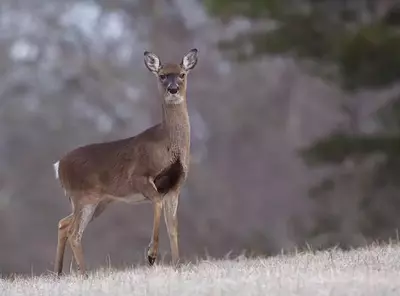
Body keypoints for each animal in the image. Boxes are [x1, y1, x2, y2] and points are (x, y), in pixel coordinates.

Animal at [53, 47, 198, 276]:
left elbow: (173, 227)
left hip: (98, 201)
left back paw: (59, 273)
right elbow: (157, 204)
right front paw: (151, 254)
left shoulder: (175, 186)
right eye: (162, 75)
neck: (166, 143)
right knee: (75, 232)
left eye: (182, 74)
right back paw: (84, 274)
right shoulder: (139, 177)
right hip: (84, 196)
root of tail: (59, 166)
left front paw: (178, 265)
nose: (173, 89)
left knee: (64, 224)